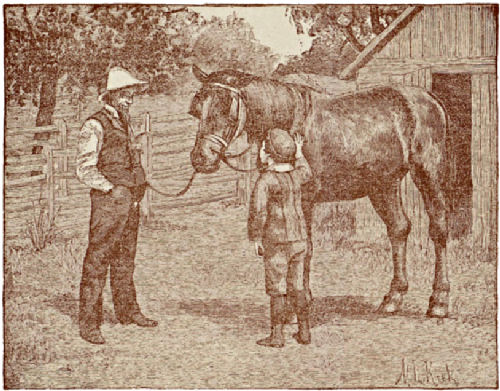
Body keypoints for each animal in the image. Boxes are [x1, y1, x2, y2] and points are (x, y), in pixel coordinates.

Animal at [189, 67, 452, 318]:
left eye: (227, 109)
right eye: (197, 110)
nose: (201, 158)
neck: (291, 122)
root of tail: (428, 97)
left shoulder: (304, 199)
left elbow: (304, 248)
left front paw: (299, 302)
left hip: (427, 174)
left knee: (438, 229)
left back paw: (439, 301)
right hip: (383, 185)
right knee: (398, 229)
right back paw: (393, 298)